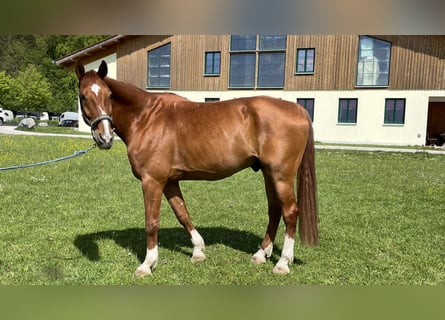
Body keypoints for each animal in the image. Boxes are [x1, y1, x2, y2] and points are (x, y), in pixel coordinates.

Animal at [75, 61, 316, 276]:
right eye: (83, 96)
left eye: (108, 95)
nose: (105, 138)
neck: (145, 118)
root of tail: (298, 108)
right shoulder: (170, 181)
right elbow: (182, 213)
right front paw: (198, 250)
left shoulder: (152, 180)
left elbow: (151, 222)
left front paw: (147, 264)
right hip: (268, 173)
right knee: (274, 210)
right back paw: (260, 254)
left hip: (281, 175)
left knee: (290, 212)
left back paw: (283, 262)